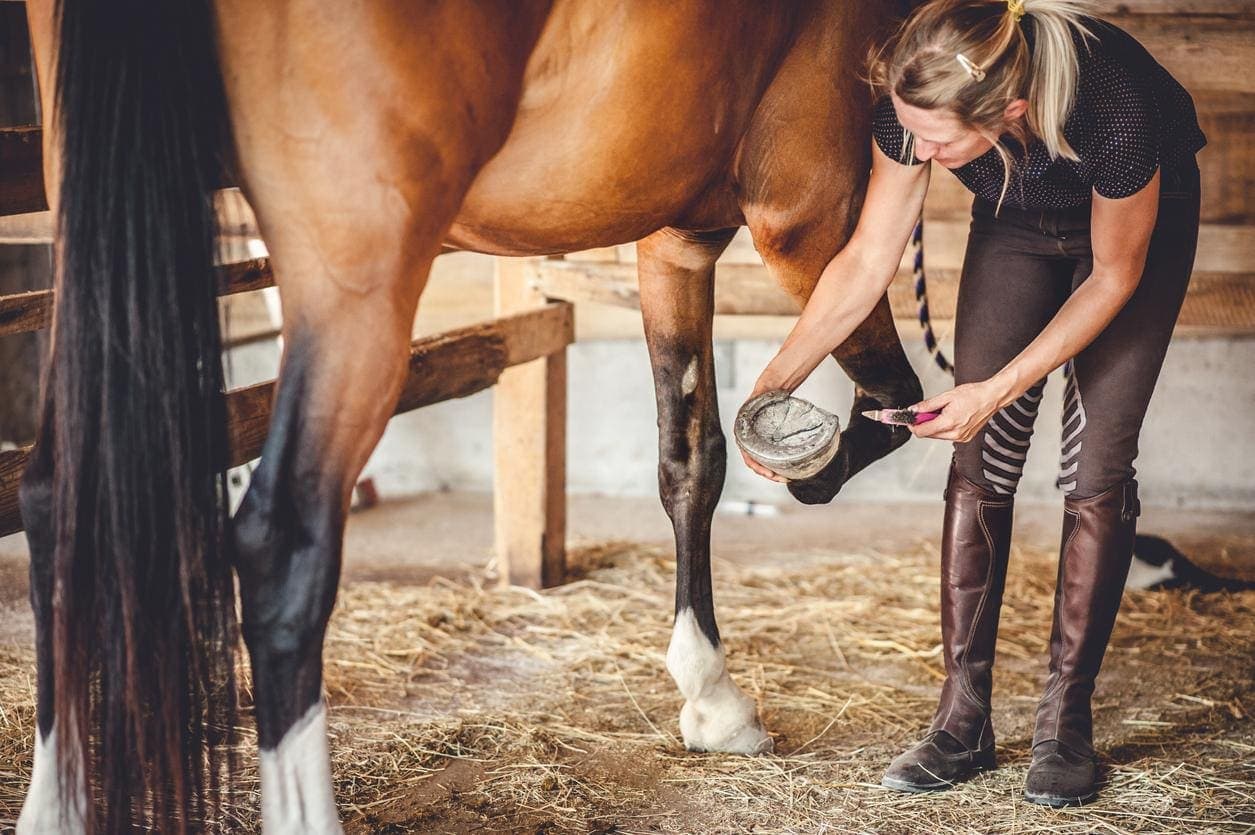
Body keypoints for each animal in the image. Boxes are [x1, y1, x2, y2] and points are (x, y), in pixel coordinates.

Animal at [16, 1, 923, 831]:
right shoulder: (808, 213)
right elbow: (889, 388)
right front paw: (818, 463)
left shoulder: (678, 237)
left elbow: (690, 458)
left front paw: (711, 699)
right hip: (354, 282)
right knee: (279, 550)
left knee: (56, 501)